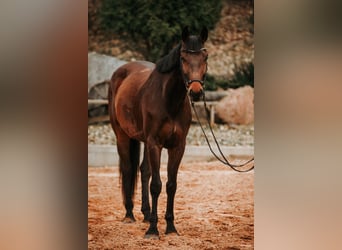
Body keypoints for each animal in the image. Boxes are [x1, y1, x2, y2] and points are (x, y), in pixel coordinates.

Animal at [109, 26, 208, 238]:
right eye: (183, 57)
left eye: (205, 56)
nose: (196, 92)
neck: (168, 100)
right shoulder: (155, 143)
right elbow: (156, 185)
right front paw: (153, 229)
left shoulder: (177, 147)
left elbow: (171, 185)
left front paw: (170, 227)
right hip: (122, 135)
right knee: (128, 169)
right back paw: (129, 214)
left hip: (144, 141)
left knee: (143, 171)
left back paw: (146, 214)